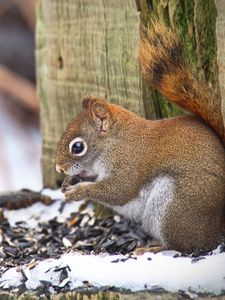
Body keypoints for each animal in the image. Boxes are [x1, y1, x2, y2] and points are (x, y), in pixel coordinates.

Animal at [55, 22, 225, 253]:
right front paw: (68, 181)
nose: (58, 168)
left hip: (175, 207)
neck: (116, 142)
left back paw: (155, 248)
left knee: (187, 245)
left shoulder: (129, 164)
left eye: (78, 147)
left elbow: (118, 190)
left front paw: (78, 191)